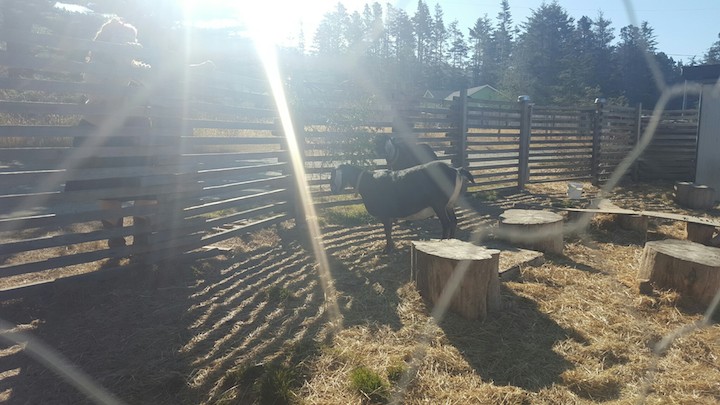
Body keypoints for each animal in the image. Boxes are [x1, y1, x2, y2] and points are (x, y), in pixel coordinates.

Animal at [330, 161, 474, 252]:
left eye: (338, 175)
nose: (333, 190)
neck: (367, 181)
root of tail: (456, 170)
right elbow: (389, 229)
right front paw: (390, 246)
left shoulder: (385, 213)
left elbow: (387, 230)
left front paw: (387, 249)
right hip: (449, 204)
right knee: (454, 221)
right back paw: (452, 240)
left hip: (439, 204)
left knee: (446, 223)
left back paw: (442, 242)